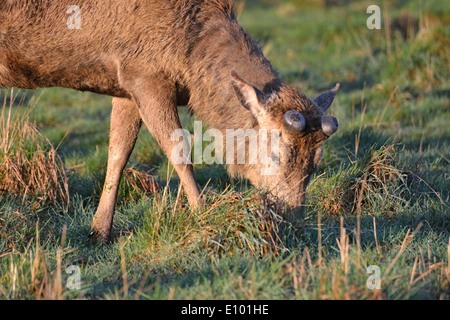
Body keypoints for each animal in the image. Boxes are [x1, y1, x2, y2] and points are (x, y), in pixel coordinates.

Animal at [0, 0, 338, 242]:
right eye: (275, 153)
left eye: (316, 162)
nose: (291, 219)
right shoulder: (145, 75)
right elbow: (180, 152)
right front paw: (203, 215)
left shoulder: (125, 85)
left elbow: (118, 152)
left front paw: (99, 231)